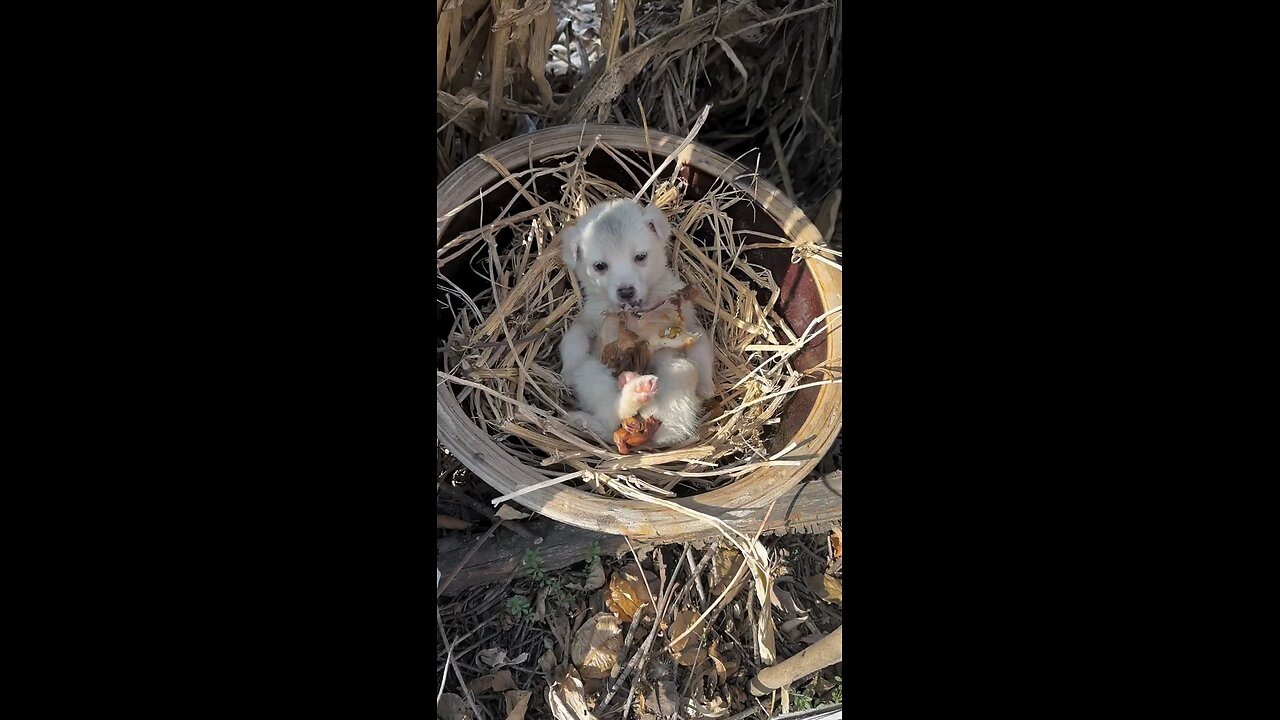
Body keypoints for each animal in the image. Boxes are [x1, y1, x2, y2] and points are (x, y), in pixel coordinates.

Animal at [560, 196, 721, 443]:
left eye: (640, 257)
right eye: (600, 266)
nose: (626, 291)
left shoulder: (689, 323)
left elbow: (702, 348)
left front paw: (706, 385)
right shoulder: (590, 319)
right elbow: (574, 336)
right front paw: (568, 369)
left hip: (677, 370)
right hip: (592, 371)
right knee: (611, 414)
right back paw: (633, 390)